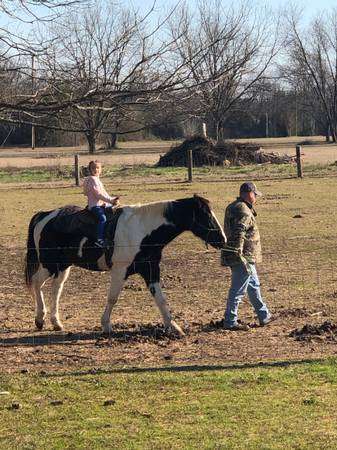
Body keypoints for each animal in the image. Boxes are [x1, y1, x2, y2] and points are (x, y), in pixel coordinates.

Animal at [24, 195, 226, 336]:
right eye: (206, 216)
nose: (222, 239)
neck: (143, 229)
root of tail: (45, 215)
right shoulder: (120, 270)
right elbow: (112, 298)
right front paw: (106, 325)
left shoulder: (151, 269)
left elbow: (160, 299)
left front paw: (173, 326)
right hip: (50, 264)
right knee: (37, 282)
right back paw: (40, 318)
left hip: (63, 266)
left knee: (55, 289)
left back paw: (55, 322)